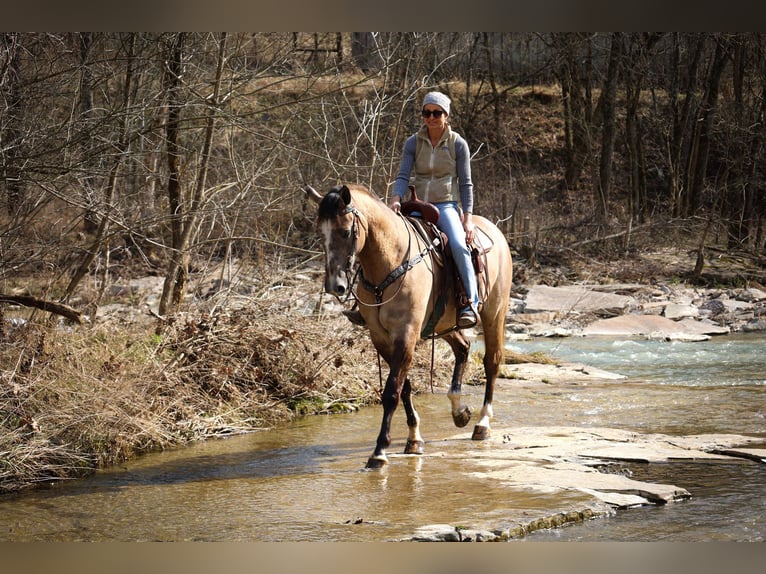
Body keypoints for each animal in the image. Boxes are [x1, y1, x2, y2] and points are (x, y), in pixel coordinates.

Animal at [304, 182, 512, 470]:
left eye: (345, 231)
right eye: (319, 233)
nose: (336, 286)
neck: (389, 262)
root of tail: (495, 231)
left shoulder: (406, 333)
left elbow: (392, 391)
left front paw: (379, 451)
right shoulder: (381, 337)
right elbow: (405, 387)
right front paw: (414, 439)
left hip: (494, 314)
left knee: (492, 362)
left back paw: (482, 423)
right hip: (442, 323)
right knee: (463, 347)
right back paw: (459, 410)